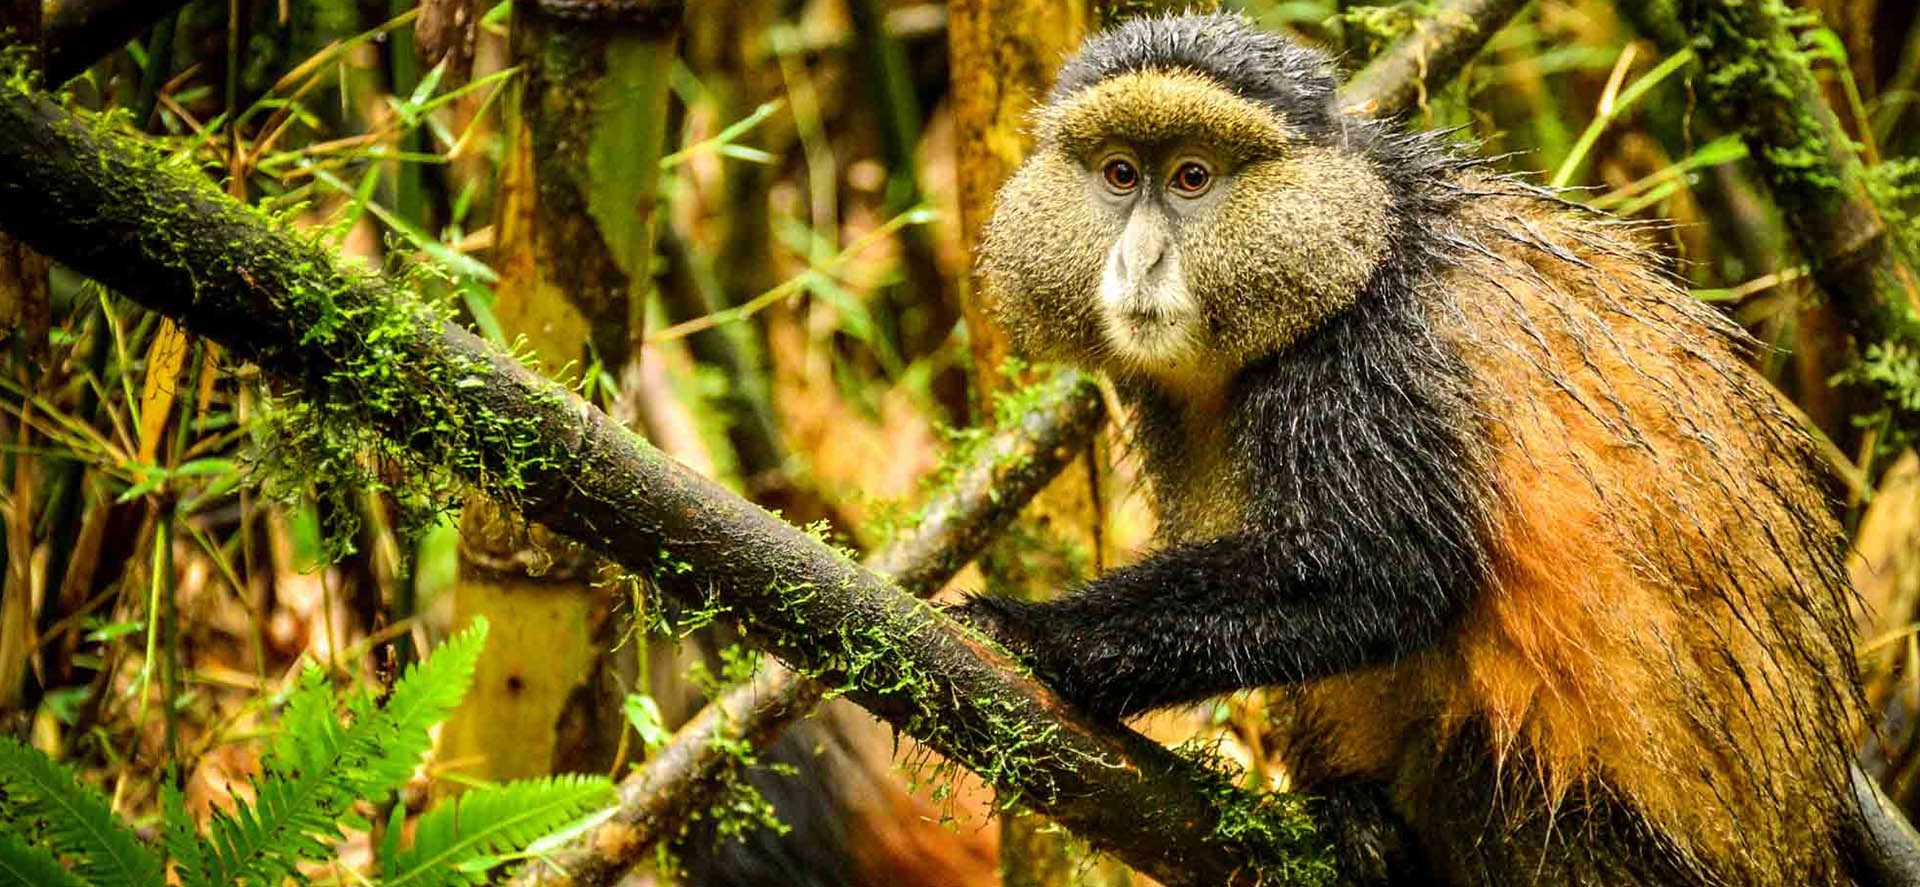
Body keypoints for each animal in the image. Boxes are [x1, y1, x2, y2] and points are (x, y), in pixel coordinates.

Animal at [952, 13, 1880, 885]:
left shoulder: (1371, 361)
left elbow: (1382, 573)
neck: (1361, 239)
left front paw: (1030, 632)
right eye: (1119, 174)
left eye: (1192, 177)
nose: (1139, 261)